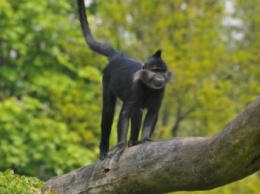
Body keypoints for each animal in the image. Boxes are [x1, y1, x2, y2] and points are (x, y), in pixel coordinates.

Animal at [77, 0, 173, 161]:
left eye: (162, 71)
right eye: (154, 70)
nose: (160, 77)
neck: (148, 86)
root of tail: (118, 57)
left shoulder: (161, 90)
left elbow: (152, 112)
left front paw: (145, 139)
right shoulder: (135, 87)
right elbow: (124, 113)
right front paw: (121, 145)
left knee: (137, 111)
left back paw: (133, 142)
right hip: (107, 79)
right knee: (108, 111)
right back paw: (104, 150)